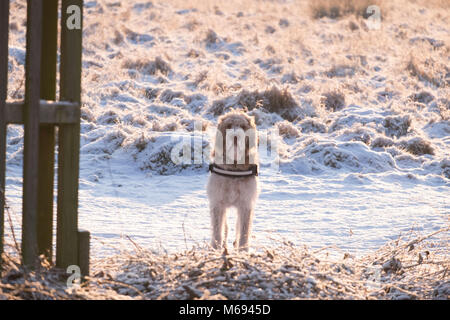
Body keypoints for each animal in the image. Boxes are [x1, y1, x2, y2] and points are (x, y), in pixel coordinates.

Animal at [207, 111, 258, 251]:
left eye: (243, 127)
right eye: (229, 125)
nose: (235, 136)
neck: (234, 167)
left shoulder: (246, 204)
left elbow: (244, 230)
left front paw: (243, 250)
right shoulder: (217, 203)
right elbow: (217, 229)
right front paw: (216, 249)